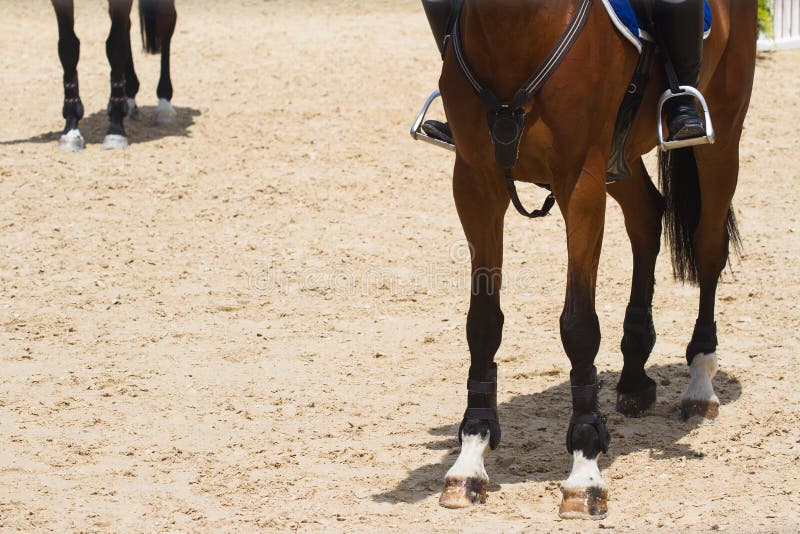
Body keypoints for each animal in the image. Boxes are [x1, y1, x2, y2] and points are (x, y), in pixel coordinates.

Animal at [53, 0, 178, 151]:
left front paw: (115, 131)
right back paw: (130, 98)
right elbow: (68, 48)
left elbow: (116, 47)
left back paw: (164, 105)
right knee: (128, 25)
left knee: (167, 20)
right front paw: (71, 130)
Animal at [424, 0, 756, 520]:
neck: (515, 28)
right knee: (647, 218)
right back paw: (635, 375)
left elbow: (578, 325)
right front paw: (470, 457)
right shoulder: (476, 181)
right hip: (620, 161)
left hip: (721, 138)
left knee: (707, 250)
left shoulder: (579, 181)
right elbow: (483, 323)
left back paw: (700, 383)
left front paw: (584, 468)